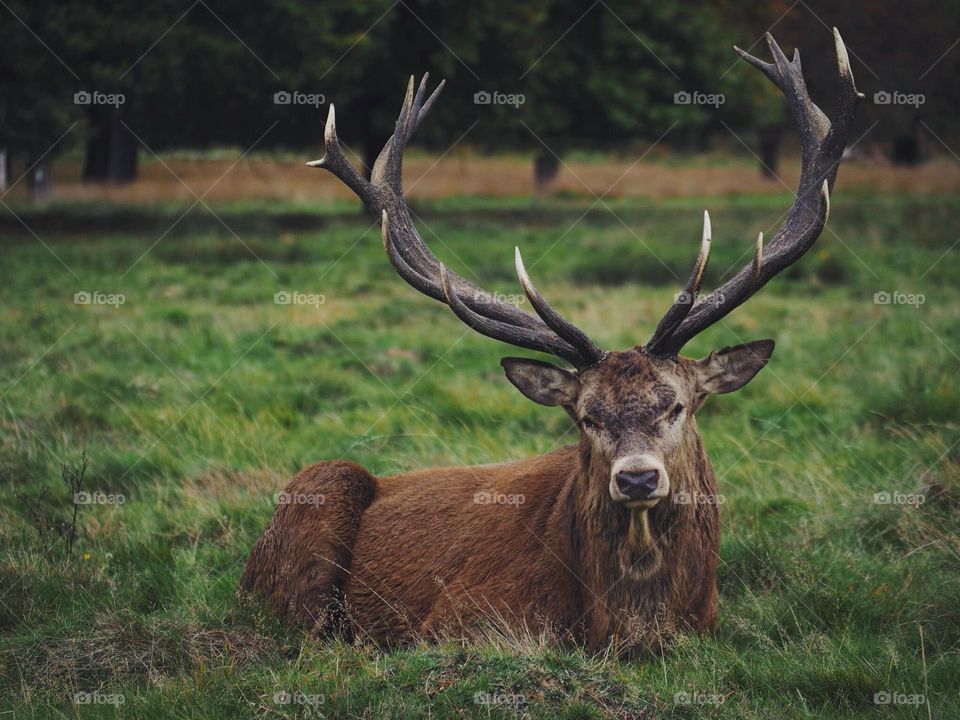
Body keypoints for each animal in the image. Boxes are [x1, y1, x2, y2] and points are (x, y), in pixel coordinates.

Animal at [240, 30, 861, 652]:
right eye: (586, 416)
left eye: (678, 406)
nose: (637, 477)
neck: (626, 626)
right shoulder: (452, 621)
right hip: (317, 497)